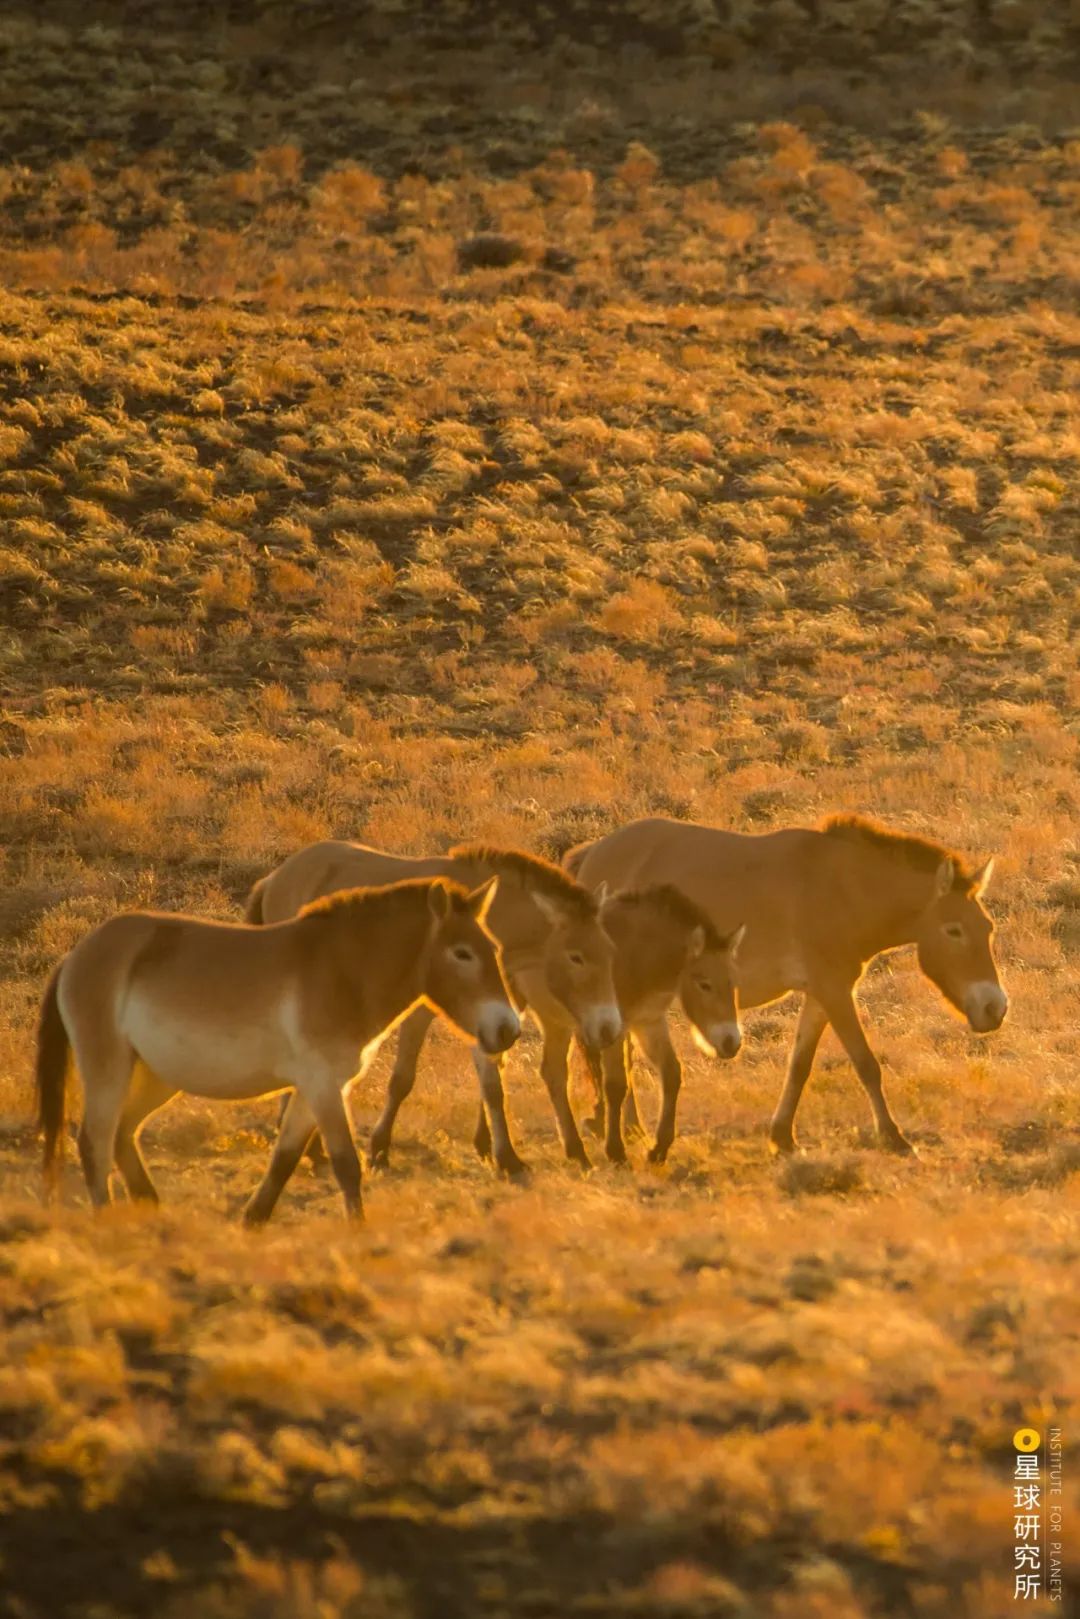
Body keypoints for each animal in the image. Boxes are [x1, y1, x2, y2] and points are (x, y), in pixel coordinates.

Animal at [35, 880, 518, 1217]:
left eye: (495, 948)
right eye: (462, 953)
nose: (508, 1029)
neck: (341, 973)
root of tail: (76, 956)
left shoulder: (316, 1088)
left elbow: (284, 1161)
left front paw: (253, 1221)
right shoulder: (323, 1086)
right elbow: (346, 1164)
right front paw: (358, 1232)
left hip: (156, 1076)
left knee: (122, 1135)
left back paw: (150, 1210)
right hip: (109, 1068)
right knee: (94, 1143)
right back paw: (108, 1222)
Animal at [244, 841, 615, 1172]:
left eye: (607, 950)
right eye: (576, 957)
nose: (608, 1027)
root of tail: (275, 876)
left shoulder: (493, 1012)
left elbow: (493, 1083)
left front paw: (505, 1154)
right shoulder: (424, 1011)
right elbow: (404, 1080)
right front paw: (379, 1149)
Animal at [566, 815, 1003, 1159]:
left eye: (988, 927)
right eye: (954, 930)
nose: (995, 1008)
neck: (844, 888)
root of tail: (592, 853)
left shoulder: (822, 995)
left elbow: (799, 1065)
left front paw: (782, 1137)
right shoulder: (834, 991)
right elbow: (866, 1064)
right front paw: (895, 1138)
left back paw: (631, 1128)